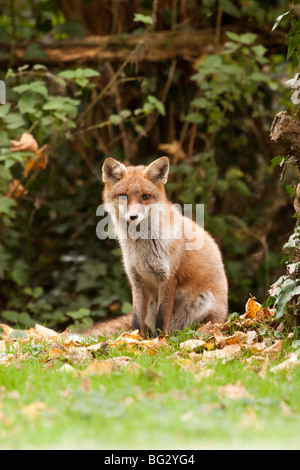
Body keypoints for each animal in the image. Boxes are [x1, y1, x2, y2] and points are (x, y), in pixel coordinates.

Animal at [86, 158, 227, 338]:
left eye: (145, 196)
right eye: (123, 196)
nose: (133, 216)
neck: (141, 248)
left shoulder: (168, 279)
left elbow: (162, 318)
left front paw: (160, 341)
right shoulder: (137, 281)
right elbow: (136, 320)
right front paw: (135, 340)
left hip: (206, 302)